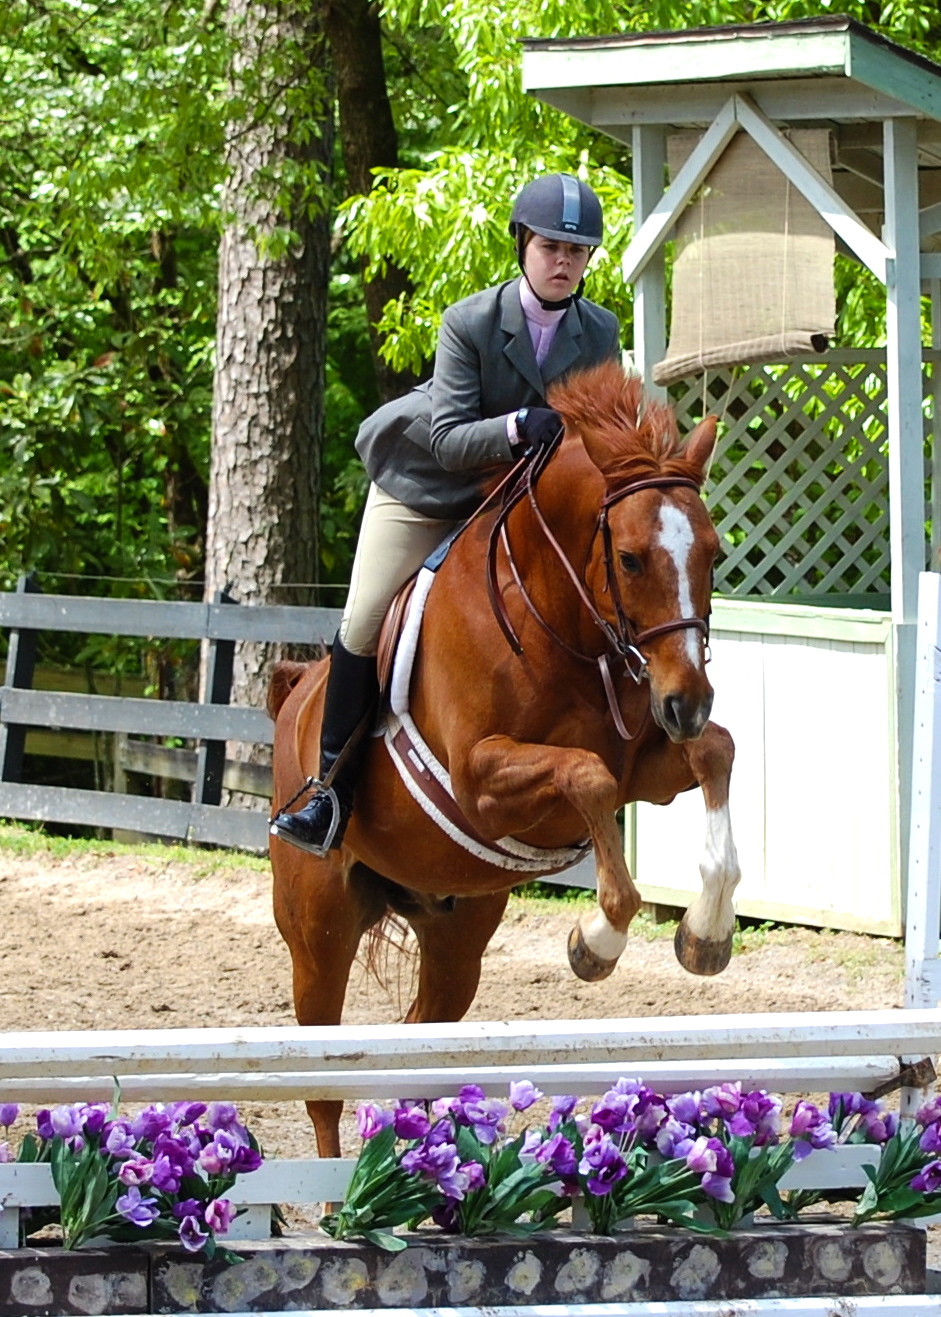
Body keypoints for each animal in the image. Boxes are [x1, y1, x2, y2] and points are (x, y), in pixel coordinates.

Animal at [271, 360, 742, 1153]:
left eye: (713, 553)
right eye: (628, 558)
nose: (688, 700)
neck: (560, 617)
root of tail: (293, 694)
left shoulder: (646, 766)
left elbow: (715, 752)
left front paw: (704, 932)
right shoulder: (479, 782)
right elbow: (586, 778)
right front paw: (596, 941)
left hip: (456, 933)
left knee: (416, 1040)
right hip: (318, 930)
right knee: (321, 1087)